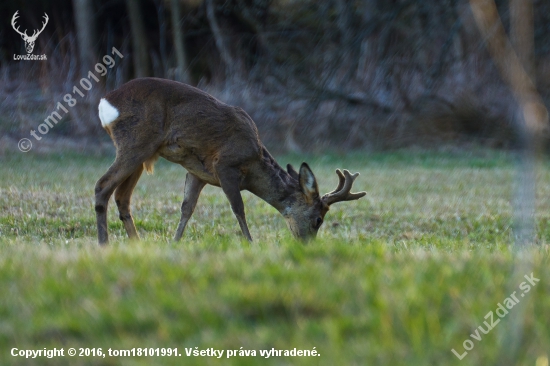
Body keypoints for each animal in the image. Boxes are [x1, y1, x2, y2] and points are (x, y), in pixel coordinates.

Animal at [95, 78, 366, 243]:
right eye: (318, 219)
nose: (306, 244)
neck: (254, 164)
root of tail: (105, 102)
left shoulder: (197, 173)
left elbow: (187, 208)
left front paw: (175, 242)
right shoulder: (224, 164)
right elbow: (238, 208)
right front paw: (250, 242)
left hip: (141, 153)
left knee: (122, 197)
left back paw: (136, 243)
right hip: (136, 143)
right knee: (102, 186)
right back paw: (104, 244)